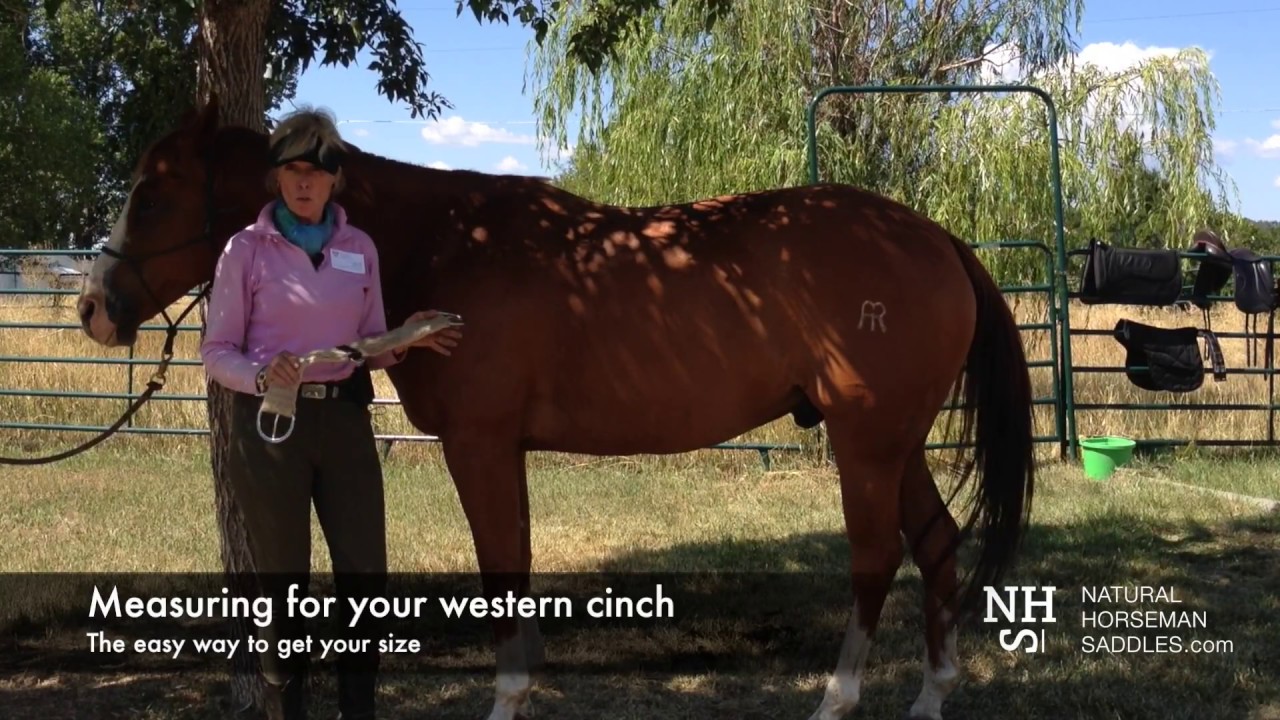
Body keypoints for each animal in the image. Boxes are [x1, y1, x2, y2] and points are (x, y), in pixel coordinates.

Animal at [74, 96, 1035, 720]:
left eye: (150, 194)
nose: (93, 308)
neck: (445, 242)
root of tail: (936, 239)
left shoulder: (479, 446)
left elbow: (502, 571)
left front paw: (505, 700)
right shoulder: (506, 452)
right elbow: (520, 569)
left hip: (866, 443)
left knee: (876, 559)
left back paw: (837, 701)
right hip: (894, 444)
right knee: (937, 542)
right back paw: (929, 698)